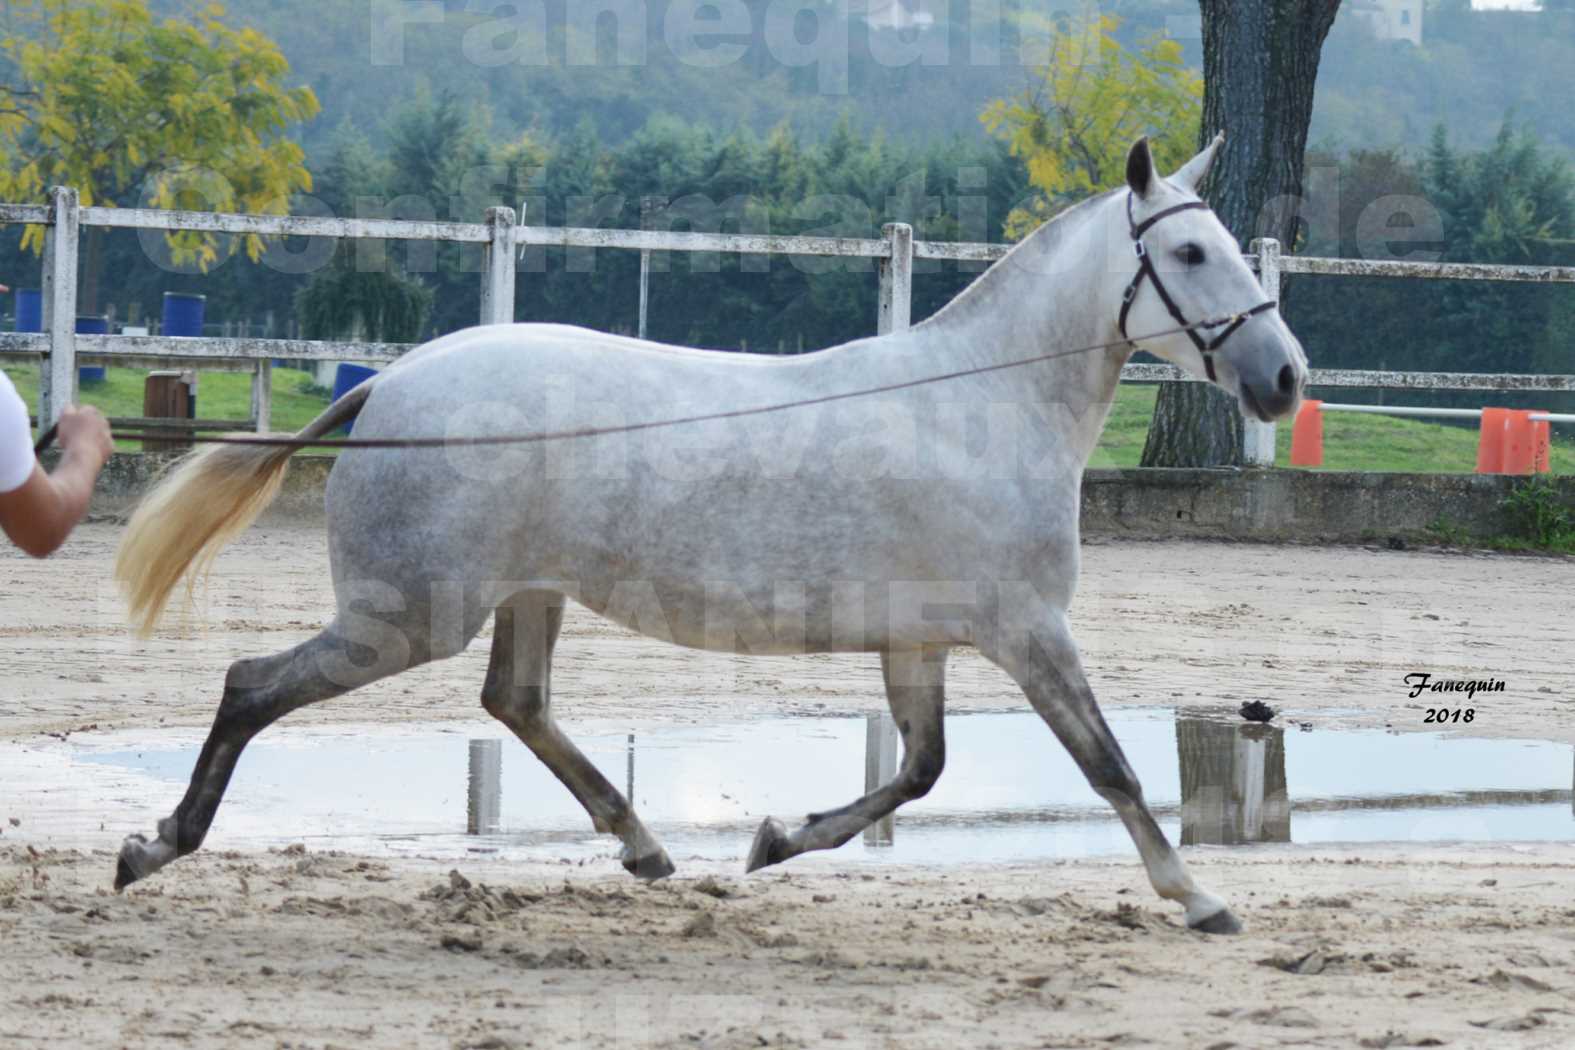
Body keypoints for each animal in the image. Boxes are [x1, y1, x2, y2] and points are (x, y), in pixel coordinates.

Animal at [116, 135, 1310, 931]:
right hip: (406, 619)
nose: (1284, 378)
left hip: (523, 596)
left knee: (516, 703)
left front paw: (775, 841)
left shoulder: (918, 639)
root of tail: (391, 384)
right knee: (252, 686)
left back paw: (646, 848)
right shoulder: (1029, 632)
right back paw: (156, 845)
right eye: (1190, 254)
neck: (980, 406)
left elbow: (921, 770)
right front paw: (1197, 896)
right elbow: (1108, 764)